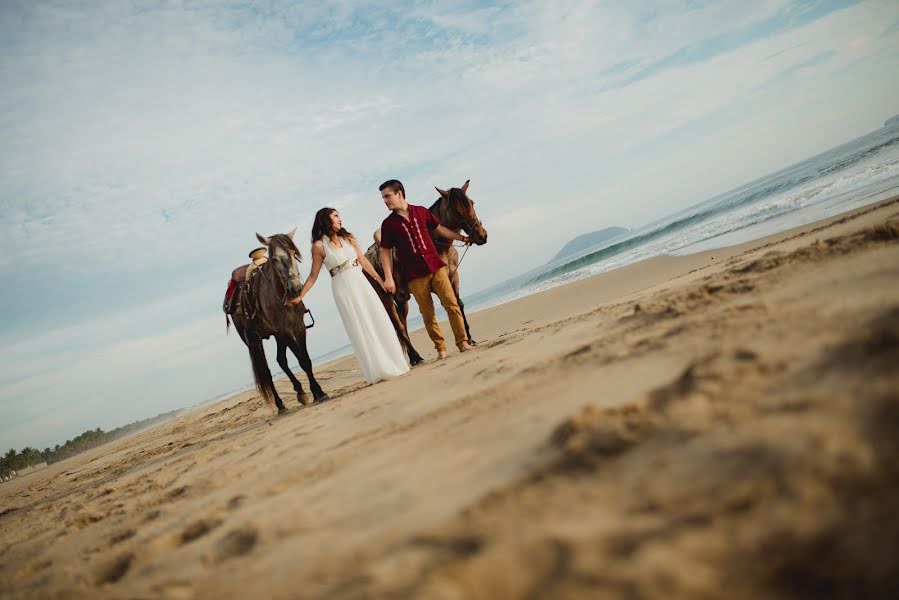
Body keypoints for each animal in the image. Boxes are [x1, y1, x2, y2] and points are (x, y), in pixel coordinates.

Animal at [227, 232, 328, 414]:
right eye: (274, 259)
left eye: (294, 254)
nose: (296, 288)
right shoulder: (286, 331)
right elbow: (301, 359)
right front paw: (317, 391)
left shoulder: (298, 328)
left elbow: (306, 360)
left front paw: (318, 392)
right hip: (254, 341)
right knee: (266, 371)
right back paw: (280, 404)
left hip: (277, 335)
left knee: (281, 360)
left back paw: (300, 393)